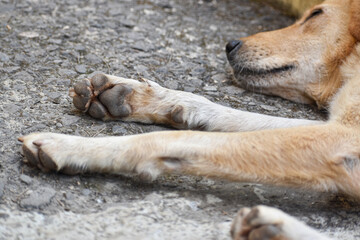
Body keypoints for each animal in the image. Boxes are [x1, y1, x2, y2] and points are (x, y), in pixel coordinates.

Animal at [19, 0, 360, 239]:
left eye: (315, 14)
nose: (230, 44)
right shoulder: (337, 126)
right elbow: (222, 112)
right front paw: (138, 96)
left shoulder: (342, 139)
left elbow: (173, 139)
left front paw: (73, 146)